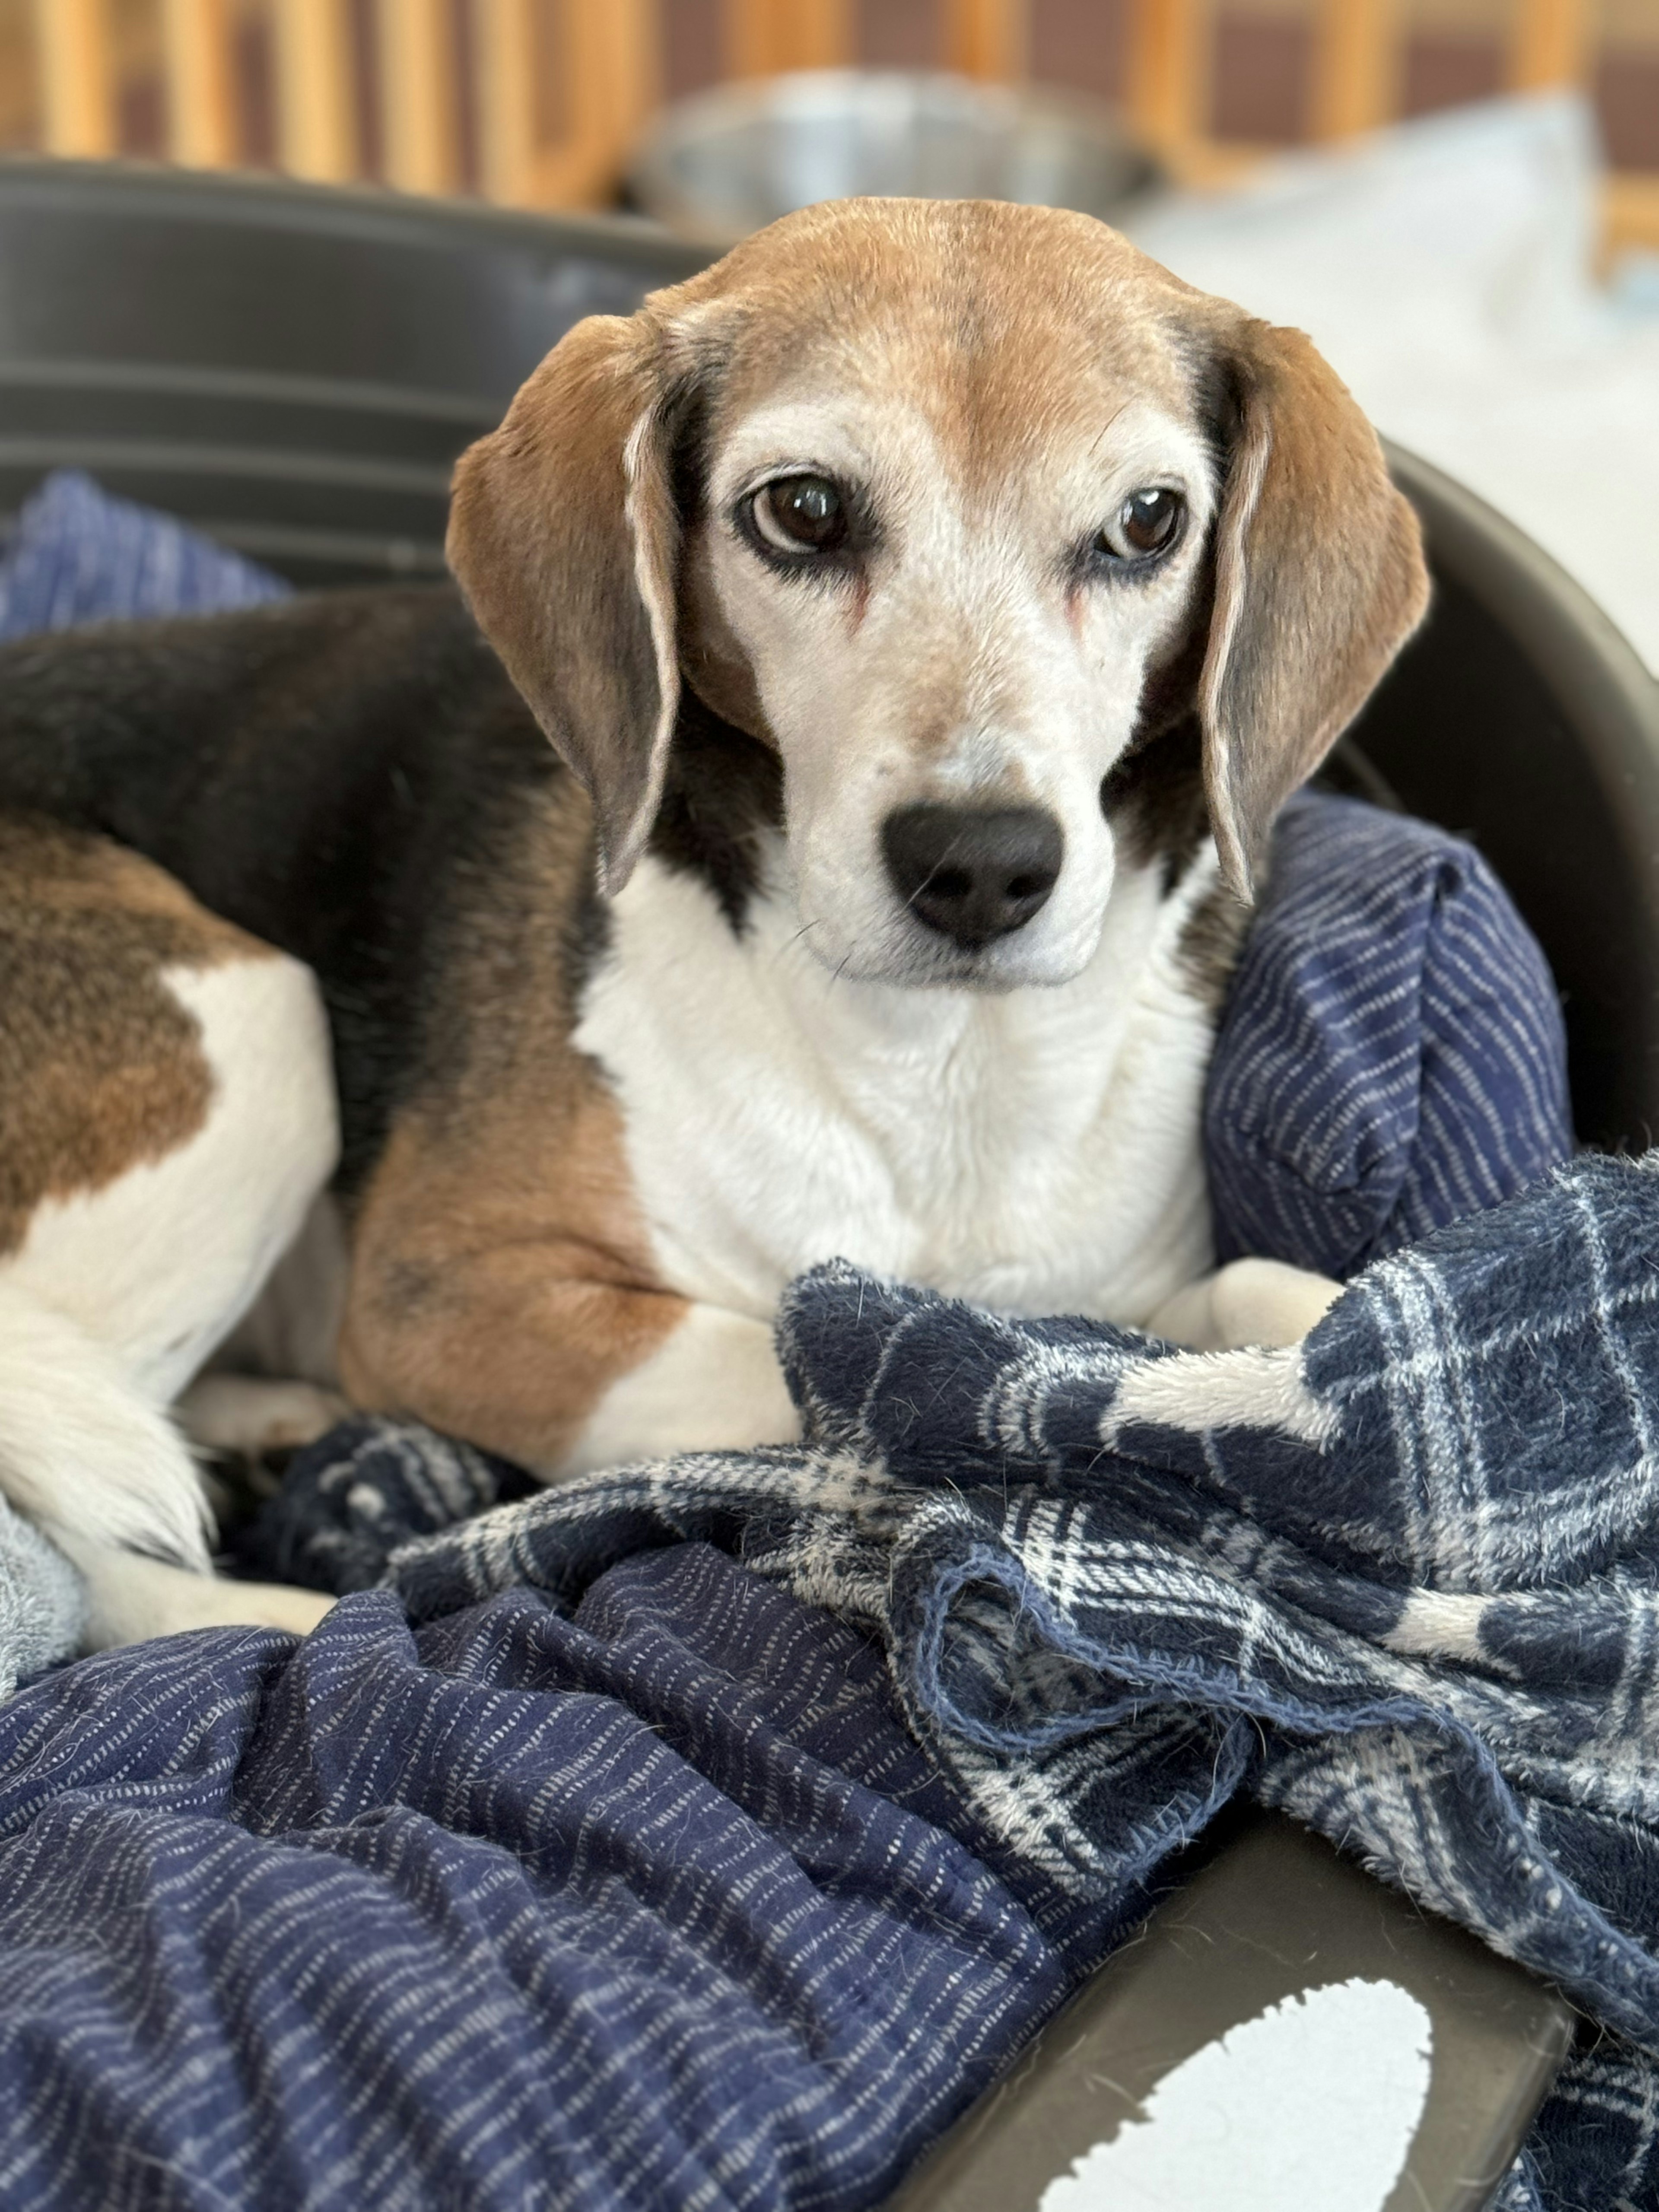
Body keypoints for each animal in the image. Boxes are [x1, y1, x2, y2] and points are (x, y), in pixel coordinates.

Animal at [0, 199, 1433, 1646]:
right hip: (250, 1031)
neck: (928, 1065)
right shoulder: (450, 1295)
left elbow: (1188, 1320)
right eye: (802, 508)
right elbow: (871, 1387)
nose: (978, 863)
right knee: (80, 1533)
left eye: (1146, 522)